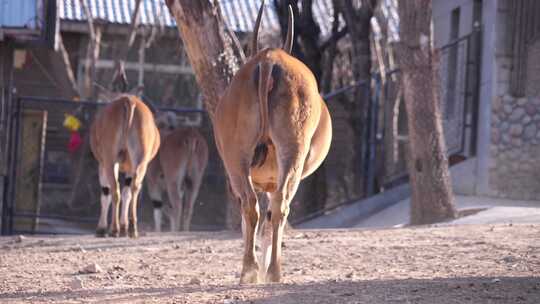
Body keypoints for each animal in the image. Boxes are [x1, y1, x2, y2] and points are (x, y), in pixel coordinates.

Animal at [88, 95, 159, 238]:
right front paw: (124, 227)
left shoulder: (103, 164)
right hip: (140, 163)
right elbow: (127, 193)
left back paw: (114, 229)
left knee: (114, 190)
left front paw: (101, 229)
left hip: (110, 162)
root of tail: (129, 100)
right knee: (133, 188)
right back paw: (132, 229)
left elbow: (106, 193)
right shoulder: (130, 169)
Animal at [215, 1, 334, 284]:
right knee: (275, 206)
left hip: (243, 160)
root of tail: (269, 59)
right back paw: (268, 271)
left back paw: (253, 270)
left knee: (257, 207)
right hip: (291, 153)